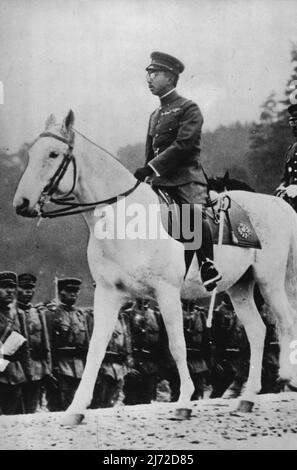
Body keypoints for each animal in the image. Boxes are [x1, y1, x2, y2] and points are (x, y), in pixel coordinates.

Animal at [13, 111, 297, 426]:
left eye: (53, 154)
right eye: (31, 154)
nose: (21, 203)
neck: (125, 218)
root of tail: (278, 203)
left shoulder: (167, 293)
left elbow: (177, 346)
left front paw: (184, 402)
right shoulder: (108, 294)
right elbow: (96, 348)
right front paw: (76, 409)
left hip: (270, 281)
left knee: (286, 322)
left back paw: (287, 376)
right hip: (240, 287)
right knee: (258, 331)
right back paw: (247, 398)